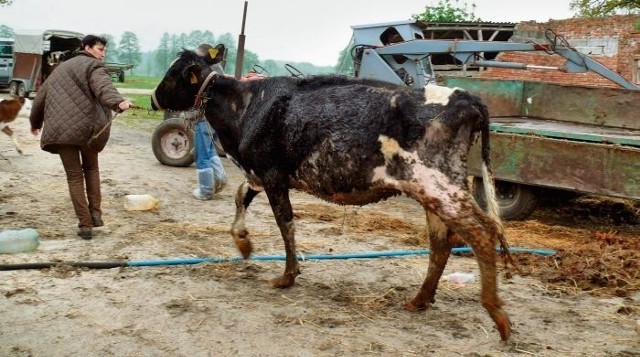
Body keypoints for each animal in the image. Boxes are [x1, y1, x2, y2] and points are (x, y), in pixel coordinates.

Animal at [151, 50, 516, 340]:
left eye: (171, 75)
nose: (153, 99)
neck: (246, 105)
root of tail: (465, 97)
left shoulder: (271, 174)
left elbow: (285, 223)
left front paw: (287, 276)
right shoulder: (258, 174)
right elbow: (241, 197)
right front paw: (243, 243)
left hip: (438, 185)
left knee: (482, 233)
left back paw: (496, 313)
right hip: (434, 189)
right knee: (443, 242)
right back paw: (420, 299)